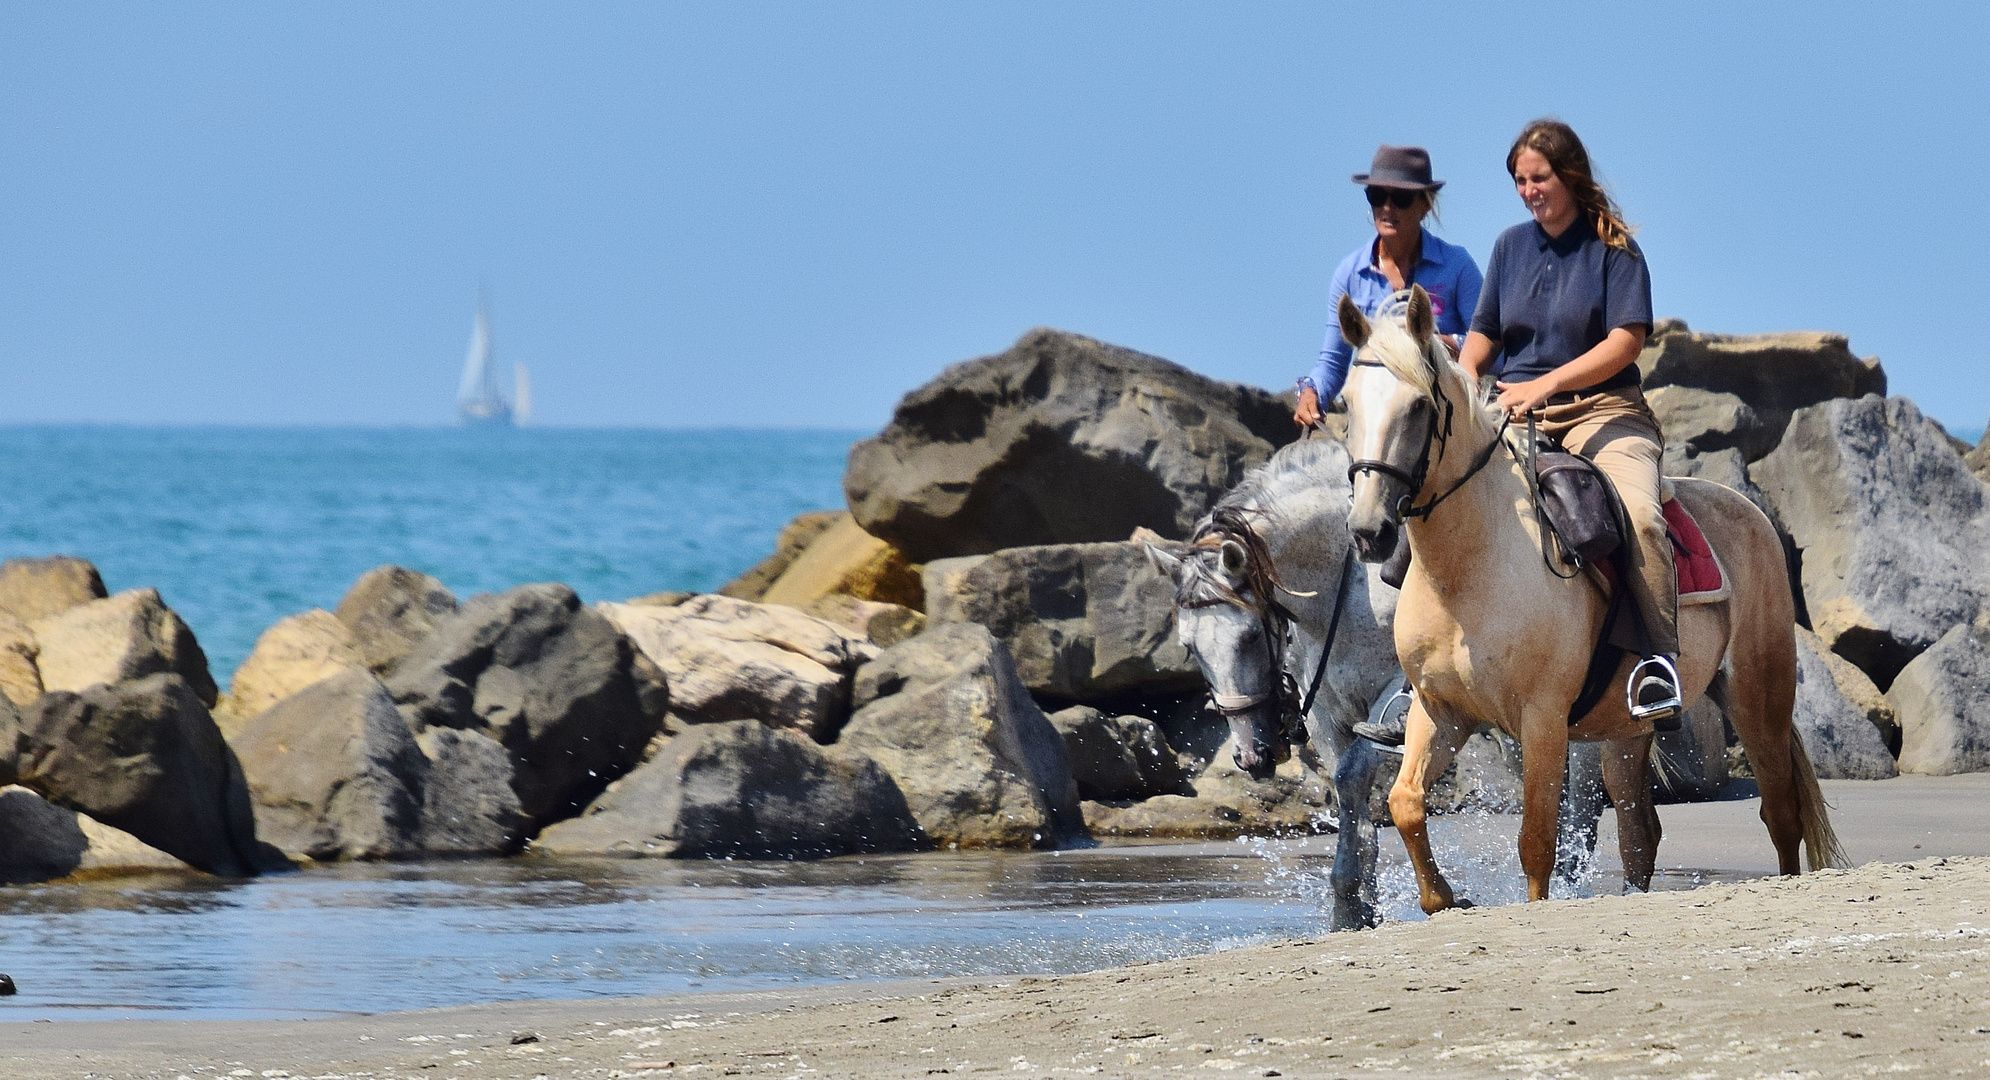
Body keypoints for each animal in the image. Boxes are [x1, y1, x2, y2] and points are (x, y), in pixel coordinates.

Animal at [1146, 437, 1607, 930]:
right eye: (1189, 647)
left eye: (1250, 635)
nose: (1253, 756)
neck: (1345, 585)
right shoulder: (1326, 713)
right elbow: (1347, 790)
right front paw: (1353, 905)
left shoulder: (1396, 697)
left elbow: (1352, 774)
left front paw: (1354, 898)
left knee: (1581, 797)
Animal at [1345, 286, 1838, 914]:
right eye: (1348, 405)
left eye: (1416, 406)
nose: (1369, 530)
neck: (1470, 569)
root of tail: (1751, 512)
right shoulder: (1441, 713)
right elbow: (1405, 803)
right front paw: (1445, 899)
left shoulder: (1542, 722)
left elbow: (1537, 841)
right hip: (1627, 731)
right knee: (1640, 833)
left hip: (1757, 700)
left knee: (1779, 812)